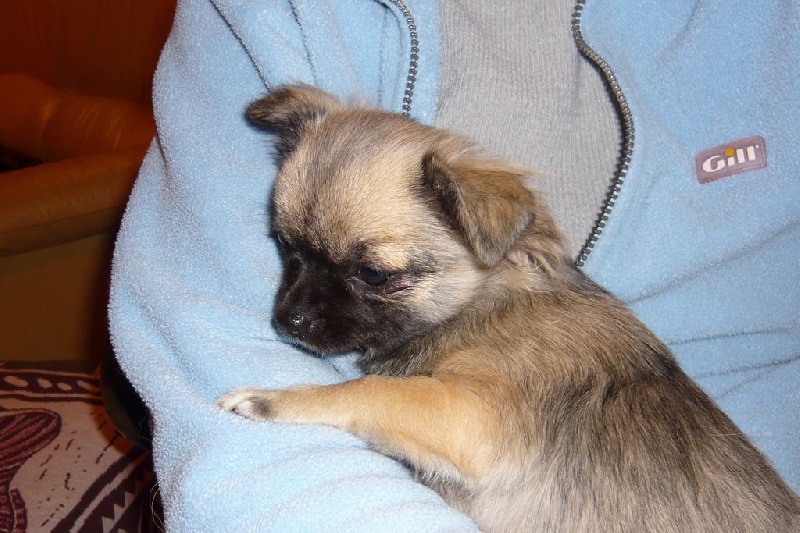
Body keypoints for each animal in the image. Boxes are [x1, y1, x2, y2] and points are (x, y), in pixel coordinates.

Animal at [219, 85, 800, 528]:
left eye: (374, 275)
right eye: (285, 247)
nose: (287, 320)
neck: (479, 304)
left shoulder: (473, 419)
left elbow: (372, 389)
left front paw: (277, 400)